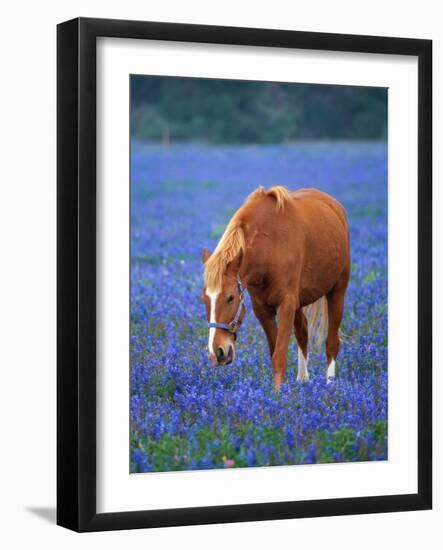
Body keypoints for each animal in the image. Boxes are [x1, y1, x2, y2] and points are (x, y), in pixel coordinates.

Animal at [201, 188, 350, 390]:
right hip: (299, 302)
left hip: (337, 291)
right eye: (205, 299)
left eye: (230, 297)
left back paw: (330, 386)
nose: (216, 353)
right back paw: (302, 380)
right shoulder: (263, 309)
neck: (269, 247)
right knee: (303, 332)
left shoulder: (286, 305)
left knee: (332, 342)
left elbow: (279, 356)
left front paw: (278, 395)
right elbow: (274, 353)